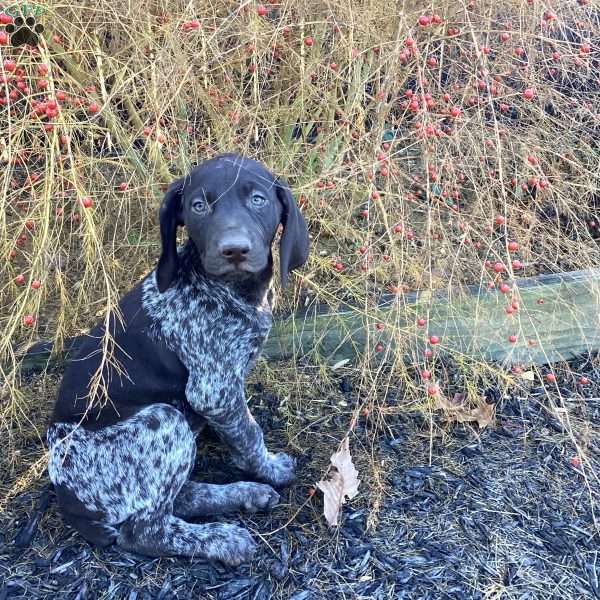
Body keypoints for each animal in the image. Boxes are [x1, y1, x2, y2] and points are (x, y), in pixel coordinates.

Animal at [45, 152, 310, 564]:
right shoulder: (213, 390)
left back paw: (242, 494)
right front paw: (267, 469)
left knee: (180, 497)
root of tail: (68, 500)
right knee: (146, 530)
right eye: (198, 206)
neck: (226, 290)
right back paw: (224, 538)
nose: (234, 250)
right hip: (163, 420)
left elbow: (240, 430)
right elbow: (250, 432)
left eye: (258, 200)